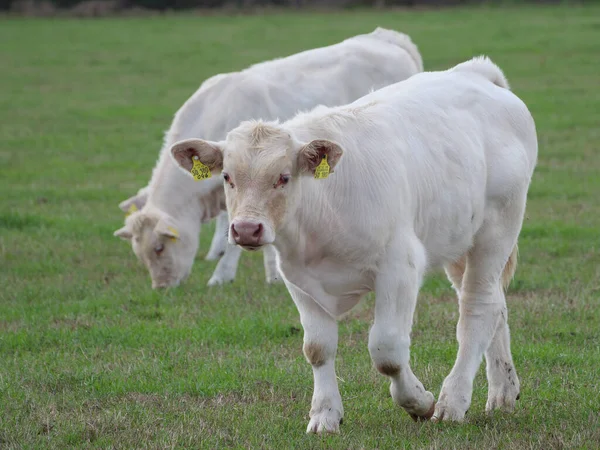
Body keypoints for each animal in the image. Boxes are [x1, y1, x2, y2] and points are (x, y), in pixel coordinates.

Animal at [170, 57, 540, 432]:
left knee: (477, 309)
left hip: (497, 230)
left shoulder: (400, 267)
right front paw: (324, 414)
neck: (322, 210)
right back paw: (503, 392)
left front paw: (419, 401)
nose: (246, 229)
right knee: (494, 305)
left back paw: (453, 400)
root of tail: (475, 72)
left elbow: (387, 350)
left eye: (283, 177)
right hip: (458, 240)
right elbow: (317, 348)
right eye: (227, 176)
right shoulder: (299, 280)